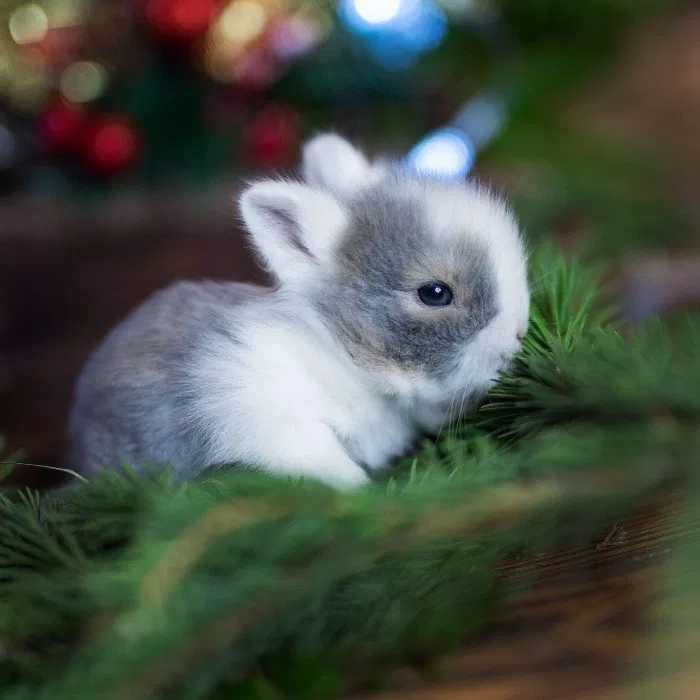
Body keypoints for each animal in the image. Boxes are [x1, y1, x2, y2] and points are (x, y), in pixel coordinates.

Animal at [71, 135, 532, 486]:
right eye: (435, 293)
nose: (519, 335)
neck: (341, 352)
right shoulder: (259, 412)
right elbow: (327, 464)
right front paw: (365, 493)